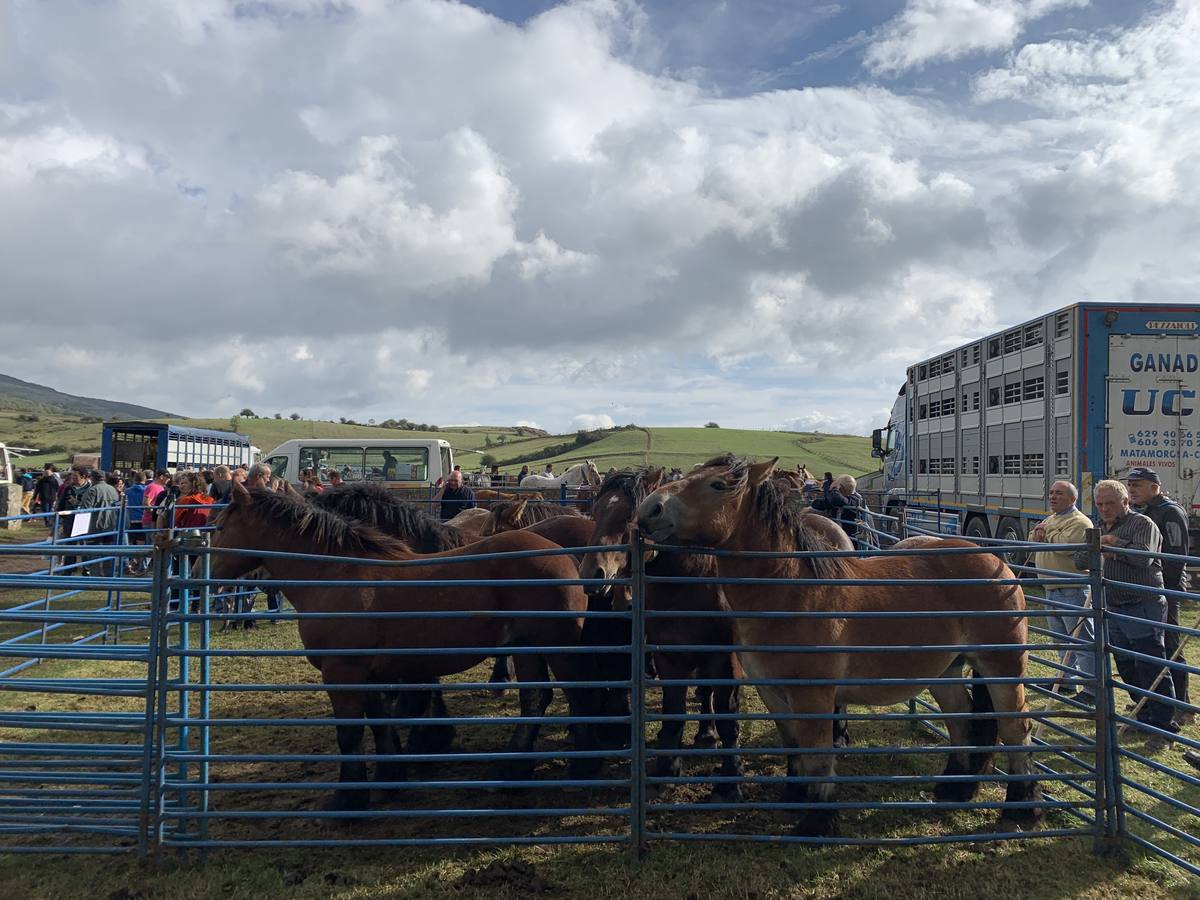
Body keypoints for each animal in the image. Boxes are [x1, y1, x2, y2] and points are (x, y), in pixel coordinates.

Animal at [205, 487, 604, 816]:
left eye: (221, 526)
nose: (201, 570)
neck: (336, 575)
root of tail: (567, 556)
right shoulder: (369, 675)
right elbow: (380, 723)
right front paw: (390, 778)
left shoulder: (342, 672)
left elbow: (348, 734)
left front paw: (348, 799)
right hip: (525, 647)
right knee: (535, 699)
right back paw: (512, 771)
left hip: (555, 647)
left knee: (578, 697)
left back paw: (582, 767)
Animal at [638, 453, 1041, 844]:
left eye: (718, 485)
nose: (648, 510)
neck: (790, 593)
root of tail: (997, 563)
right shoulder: (774, 693)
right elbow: (794, 746)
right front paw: (794, 800)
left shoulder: (814, 696)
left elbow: (818, 755)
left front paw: (818, 822)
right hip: (946, 670)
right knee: (963, 720)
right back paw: (955, 789)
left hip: (1002, 667)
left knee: (1016, 728)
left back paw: (1021, 809)